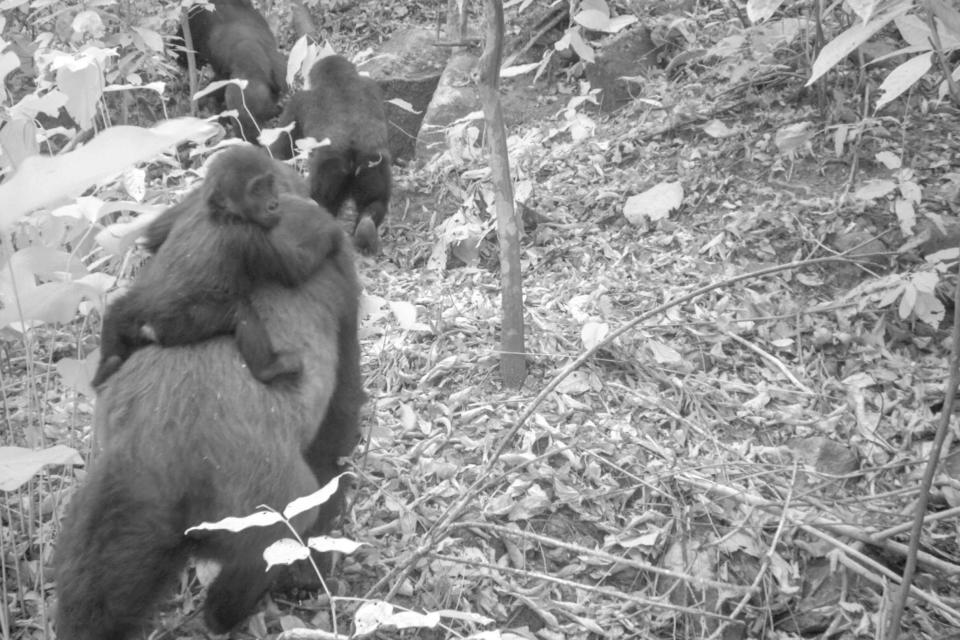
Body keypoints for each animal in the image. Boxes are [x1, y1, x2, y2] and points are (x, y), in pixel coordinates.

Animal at [94, 148, 342, 388]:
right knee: (239, 313)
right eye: (256, 189)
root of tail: (146, 320)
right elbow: (295, 271)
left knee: (116, 311)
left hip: (133, 312)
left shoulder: (192, 203)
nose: (274, 204)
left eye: (269, 183)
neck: (222, 212)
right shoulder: (249, 236)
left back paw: (106, 364)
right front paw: (329, 230)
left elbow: (154, 234)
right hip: (179, 323)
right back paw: (270, 368)